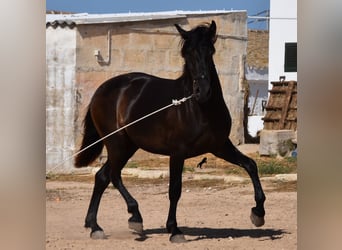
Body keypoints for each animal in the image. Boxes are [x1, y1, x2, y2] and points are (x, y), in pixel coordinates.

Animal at [75, 20, 266, 243]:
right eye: (187, 54)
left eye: (210, 51)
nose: (202, 91)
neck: (199, 108)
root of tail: (101, 90)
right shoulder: (177, 153)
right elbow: (175, 190)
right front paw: (174, 230)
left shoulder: (220, 147)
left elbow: (250, 165)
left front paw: (258, 213)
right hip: (117, 144)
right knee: (113, 176)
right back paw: (134, 217)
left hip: (127, 146)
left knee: (102, 177)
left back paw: (94, 226)